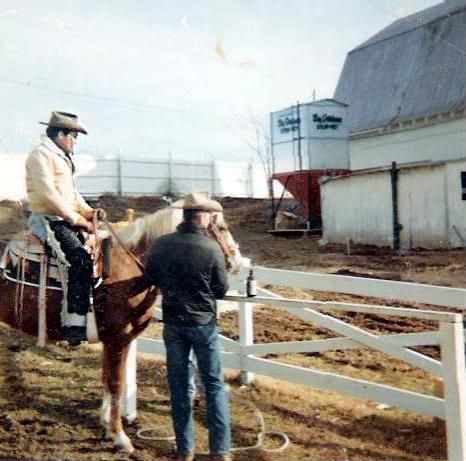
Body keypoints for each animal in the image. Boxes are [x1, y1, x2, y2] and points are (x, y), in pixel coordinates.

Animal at [0, 204, 240, 450]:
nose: (236, 261)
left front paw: (106, 424)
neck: (129, 268)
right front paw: (120, 437)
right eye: (222, 227)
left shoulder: (117, 340)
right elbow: (117, 383)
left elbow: (108, 378)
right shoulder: (118, 338)